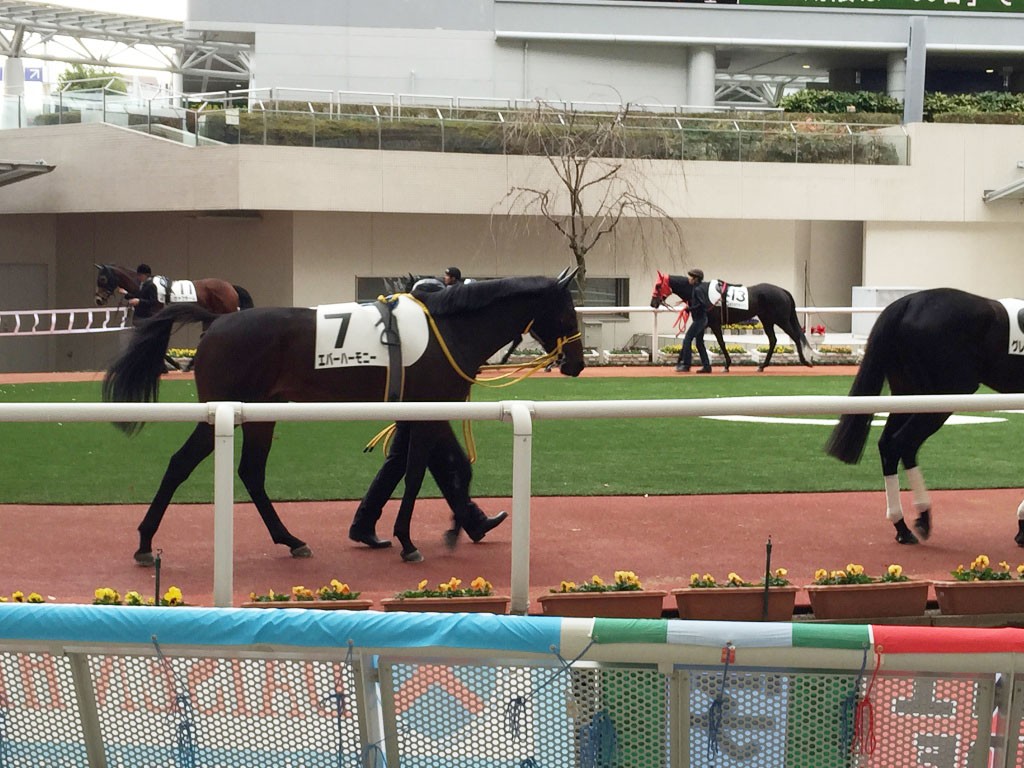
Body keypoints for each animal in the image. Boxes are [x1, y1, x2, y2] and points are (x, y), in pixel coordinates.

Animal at [102, 272, 585, 565]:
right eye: (568, 309)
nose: (577, 363)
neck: (448, 328)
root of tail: (216, 321)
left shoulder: (430, 410)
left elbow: (445, 467)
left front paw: (467, 523)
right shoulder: (429, 409)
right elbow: (417, 473)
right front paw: (410, 540)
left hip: (261, 414)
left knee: (250, 473)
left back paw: (291, 539)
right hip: (224, 412)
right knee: (182, 464)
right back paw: (144, 542)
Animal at [651, 270, 811, 372]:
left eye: (658, 285)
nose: (653, 303)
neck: (699, 290)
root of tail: (783, 291)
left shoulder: (714, 324)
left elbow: (721, 343)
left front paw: (727, 365)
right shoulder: (704, 323)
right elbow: (690, 339)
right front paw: (681, 363)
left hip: (781, 320)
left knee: (795, 336)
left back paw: (805, 362)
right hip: (767, 320)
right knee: (773, 340)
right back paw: (762, 366)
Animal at [827, 286, 1024, 548]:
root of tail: (909, 302)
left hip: (908, 393)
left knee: (888, 445)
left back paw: (902, 525)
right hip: (944, 396)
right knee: (903, 444)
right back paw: (921, 517)